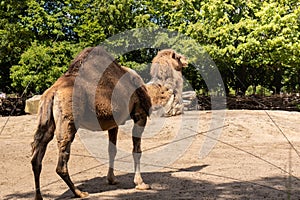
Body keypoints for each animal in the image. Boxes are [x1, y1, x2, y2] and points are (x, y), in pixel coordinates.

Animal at [30, 46, 173, 199]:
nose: (171, 90)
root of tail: (52, 93)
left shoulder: (113, 123)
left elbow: (112, 150)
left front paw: (112, 179)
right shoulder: (140, 114)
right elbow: (137, 150)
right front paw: (141, 183)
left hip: (45, 117)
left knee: (37, 154)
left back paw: (39, 196)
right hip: (68, 118)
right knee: (61, 160)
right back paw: (79, 192)